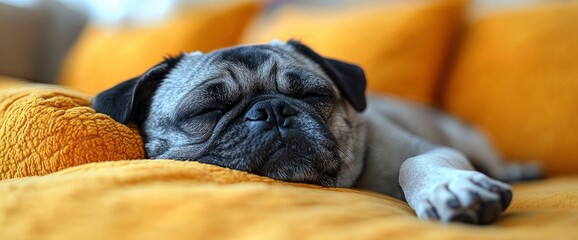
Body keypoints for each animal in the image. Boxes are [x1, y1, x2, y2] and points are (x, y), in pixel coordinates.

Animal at [92, 39, 536, 225]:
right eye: (207, 110)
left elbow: (415, 163)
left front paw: (451, 189)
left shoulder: (429, 149)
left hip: (467, 138)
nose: (272, 109)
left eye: (312, 94)